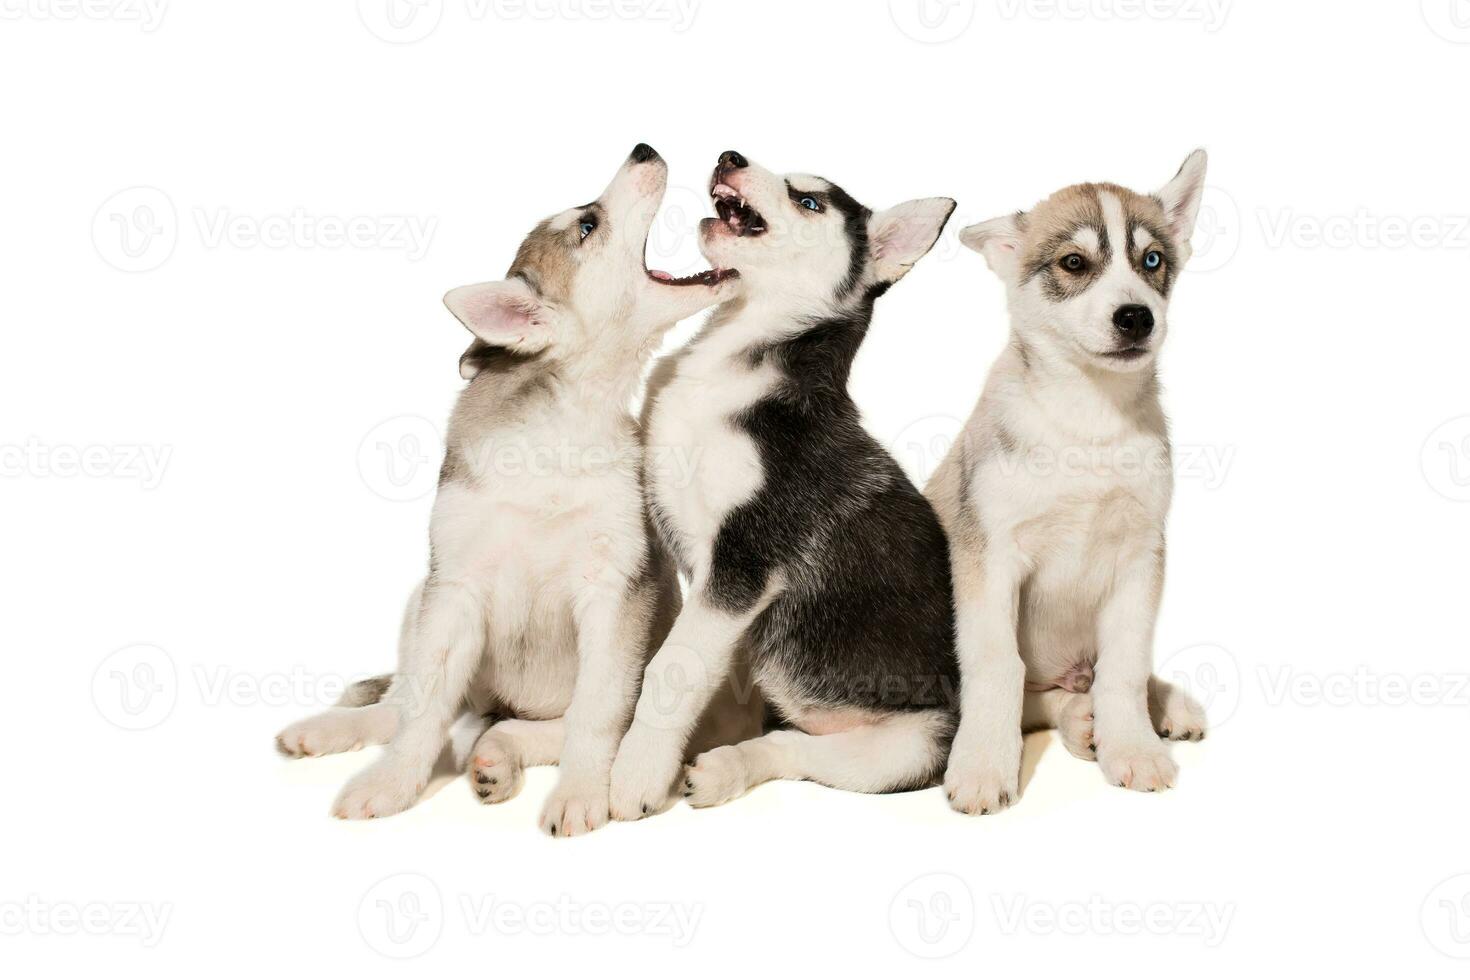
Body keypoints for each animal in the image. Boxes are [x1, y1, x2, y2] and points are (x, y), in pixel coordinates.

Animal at [273, 145, 758, 834]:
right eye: (587, 225)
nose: (644, 149)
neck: (563, 424)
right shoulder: (454, 590)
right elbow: (422, 711)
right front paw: (394, 784)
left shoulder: (615, 594)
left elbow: (597, 714)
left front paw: (580, 793)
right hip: (422, 599)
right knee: (405, 705)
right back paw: (332, 731)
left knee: (513, 730)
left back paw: (497, 761)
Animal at [602, 147, 958, 822]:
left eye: (810, 201)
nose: (730, 155)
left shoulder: (744, 564)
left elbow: (672, 668)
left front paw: (636, 772)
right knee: (783, 739)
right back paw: (722, 767)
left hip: (913, 744)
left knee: (806, 753)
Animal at [934, 151, 1211, 811]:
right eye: (1074, 263)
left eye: (1152, 260)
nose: (1136, 317)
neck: (1090, 421)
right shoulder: (990, 557)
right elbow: (997, 667)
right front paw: (983, 767)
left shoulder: (1141, 555)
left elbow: (1126, 667)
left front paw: (1132, 747)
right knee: (1037, 699)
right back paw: (1080, 721)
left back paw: (1153, 708)